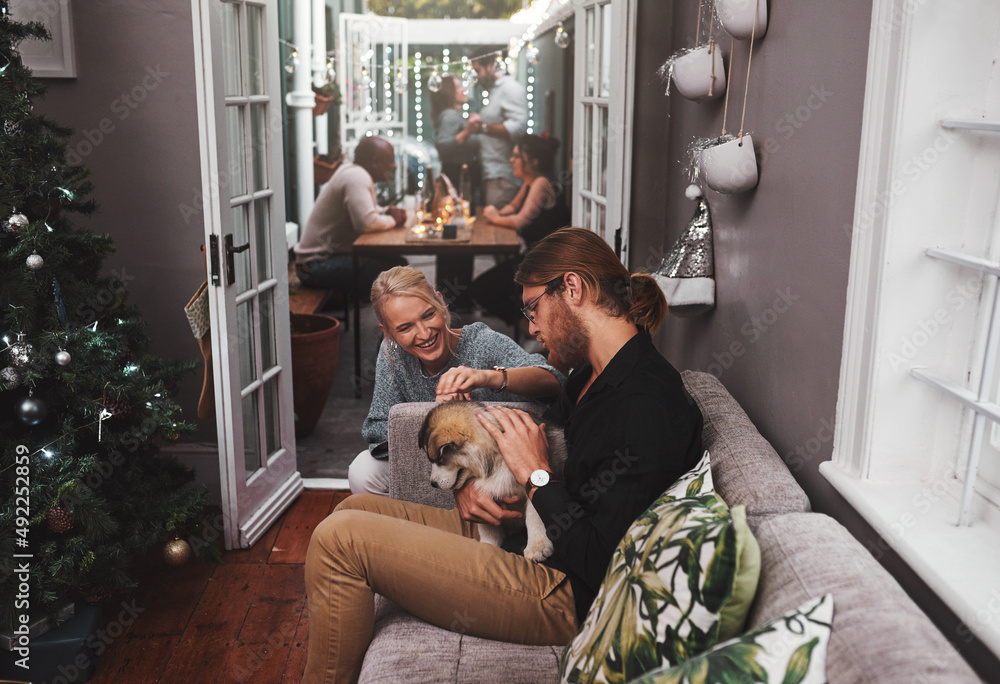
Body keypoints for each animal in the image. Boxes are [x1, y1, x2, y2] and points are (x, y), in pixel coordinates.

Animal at [418, 400, 568, 560]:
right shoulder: (488, 494)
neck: (495, 460)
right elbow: (487, 526)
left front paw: (537, 546)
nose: (433, 484)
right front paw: (488, 545)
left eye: (440, 460)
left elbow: (535, 515)